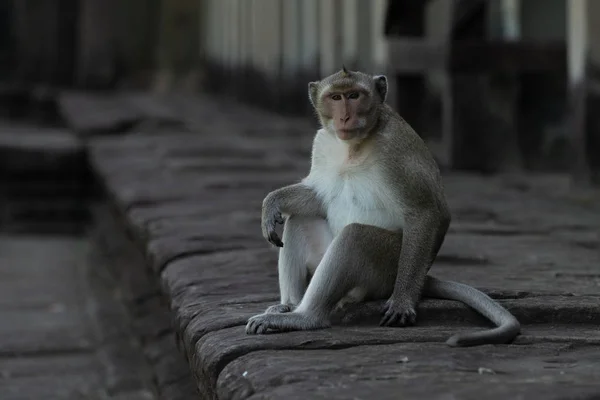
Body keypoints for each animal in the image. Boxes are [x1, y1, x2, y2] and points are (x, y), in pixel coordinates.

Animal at [244, 66, 520, 346]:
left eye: (354, 95)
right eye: (335, 97)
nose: (345, 117)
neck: (353, 145)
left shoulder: (394, 150)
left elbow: (429, 212)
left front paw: (403, 300)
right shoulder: (321, 143)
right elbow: (319, 198)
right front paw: (272, 203)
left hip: (384, 269)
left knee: (355, 237)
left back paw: (305, 317)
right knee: (301, 219)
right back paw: (289, 305)